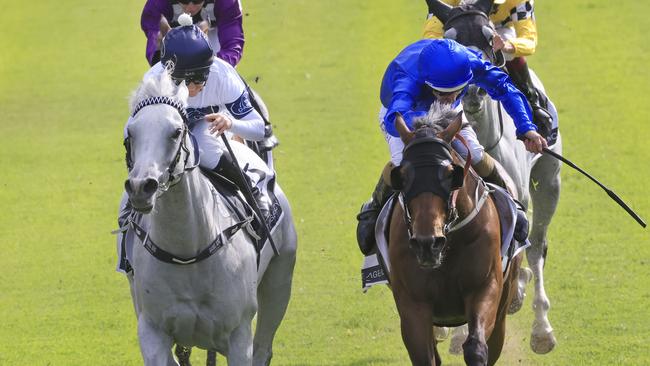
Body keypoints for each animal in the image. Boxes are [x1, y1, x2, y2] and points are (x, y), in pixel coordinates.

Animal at [119, 71, 296, 364]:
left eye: (176, 132)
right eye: (131, 133)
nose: (141, 187)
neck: (187, 253)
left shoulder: (238, 335)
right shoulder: (152, 331)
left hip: (279, 281)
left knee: (264, 347)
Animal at [384, 104, 520, 364]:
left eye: (450, 174)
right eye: (402, 176)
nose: (427, 244)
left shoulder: (485, 286)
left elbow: (476, 347)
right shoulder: (412, 302)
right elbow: (425, 357)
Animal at [428, 0, 560, 352]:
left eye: (490, 39)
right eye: (450, 40)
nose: (473, 91)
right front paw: (456, 332)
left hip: (548, 182)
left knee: (536, 246)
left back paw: (540, 326)